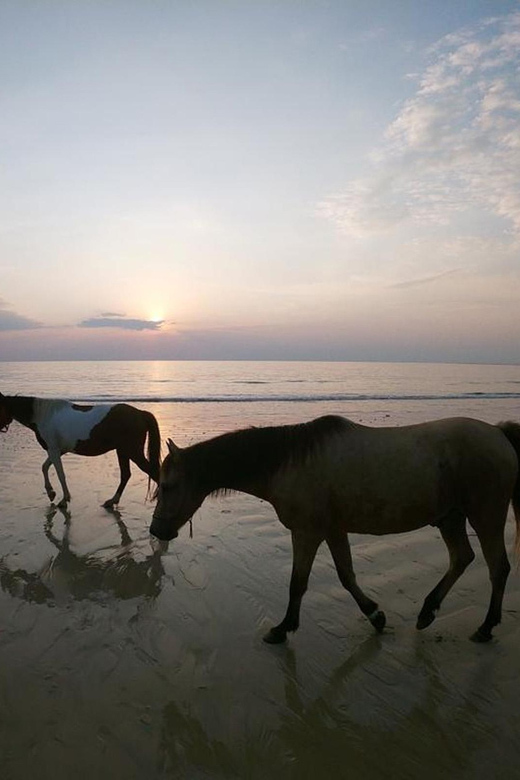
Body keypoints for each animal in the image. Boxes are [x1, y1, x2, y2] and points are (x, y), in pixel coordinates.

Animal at [0, 394, 160, 508]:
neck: (43, 415)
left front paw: (64, 499)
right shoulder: (57, 450)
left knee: (152, 471)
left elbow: (60, 474)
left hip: (133, 452)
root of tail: (140, 413)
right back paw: (112, 501)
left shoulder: (53, 450)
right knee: (126, 475)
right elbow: (44, 467)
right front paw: (51, 493)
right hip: (122, 451)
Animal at [151, 418, 520, 644]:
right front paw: (375, 615)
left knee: (498, 567)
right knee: (462, 558)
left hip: (486, 515)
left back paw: (486, 627)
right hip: (451, 517)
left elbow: (298, 583)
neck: (290, 462)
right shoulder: (332, 530)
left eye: (168, 486)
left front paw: (282, 628)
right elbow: (346, 575)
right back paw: (428, 611)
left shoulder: (306, 533)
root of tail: (498, 433)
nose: (156, 530)